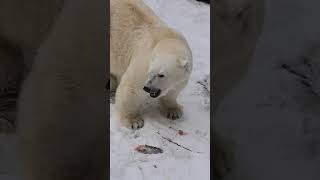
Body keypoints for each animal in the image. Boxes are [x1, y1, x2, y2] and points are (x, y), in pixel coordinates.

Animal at [110, 0, 191, 129]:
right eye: (150, 72)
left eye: (161, 75)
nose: (147, 88)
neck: (167, 40)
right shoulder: (142, 63)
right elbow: (131, 88)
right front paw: (134, 121)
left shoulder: (184, 74)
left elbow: (173, 91)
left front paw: (173, 111)